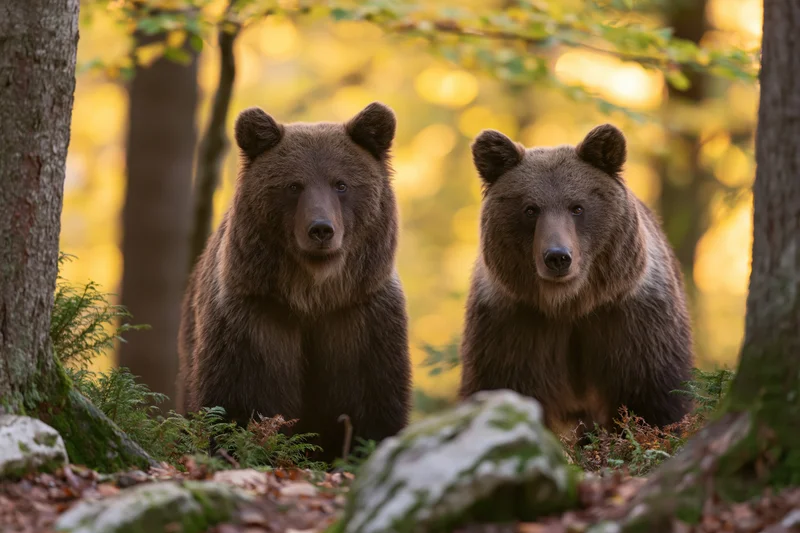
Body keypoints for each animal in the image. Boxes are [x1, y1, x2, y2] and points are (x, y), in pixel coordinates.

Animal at [177, 102, 412, 464]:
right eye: (293, 185)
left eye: (341, 184)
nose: (321, 228)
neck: (312, 295)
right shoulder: (256, 316)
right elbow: (242, 396)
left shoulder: (359, 315)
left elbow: (372, 396)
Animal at [458, 123, 694, 441]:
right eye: (530, 209)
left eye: (577, 207)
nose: (558, 256)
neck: (569, 304)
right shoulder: (513, 325)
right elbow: (500, 384)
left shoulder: (631, 320)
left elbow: (654, 393)